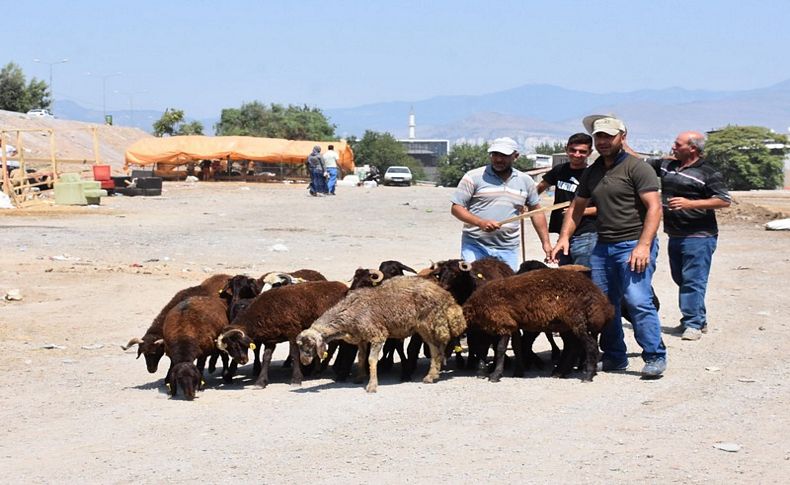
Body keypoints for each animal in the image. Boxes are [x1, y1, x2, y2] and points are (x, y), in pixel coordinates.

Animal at [215, 278, 348, 388]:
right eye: (228, 348)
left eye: (236, 344)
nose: (242, 361)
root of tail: (343, 286)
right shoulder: (270, 339)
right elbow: (266, 357)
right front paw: (260, 382)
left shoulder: (293, 332)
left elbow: (294, 354)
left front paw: (296, 379)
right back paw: (319, 369)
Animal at [464, 268, 620, 382]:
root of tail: (605, 305)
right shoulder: (512, 324)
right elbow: (517, 346)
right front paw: (518, 371)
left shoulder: (503, 323)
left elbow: (501, 349)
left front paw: (495, 375)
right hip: (567, 325)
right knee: (573, 346)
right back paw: (560, 372)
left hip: (578, 320)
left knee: (590, 346)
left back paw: (587, 375)